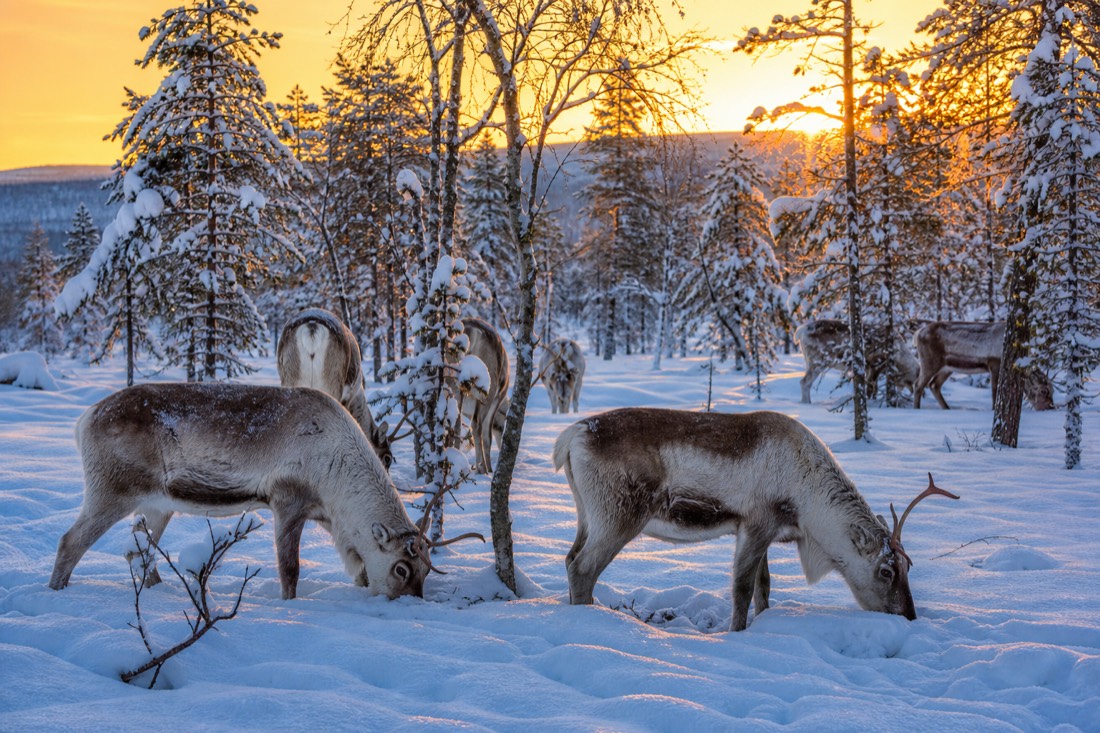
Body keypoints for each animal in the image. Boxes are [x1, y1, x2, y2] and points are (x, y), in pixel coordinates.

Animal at [48, 383, 482, 599]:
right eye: (402, 567)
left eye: (425, 570)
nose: (407, 606)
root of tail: (83, 420)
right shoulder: (287, 500)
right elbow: (290, 570)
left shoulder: (328, 517)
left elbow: (356, 567)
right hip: (111, 491)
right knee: (71, 541)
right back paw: (55, 593)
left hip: (158, 505)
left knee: (136, 549)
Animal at [459, 317, 510, 473]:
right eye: (504, 416)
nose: (502, 443)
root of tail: (471, 331)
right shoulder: (496, 401)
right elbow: (487, 438)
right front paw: (489, 468)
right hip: (488, 389)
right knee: (477, 426)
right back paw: (482, 469)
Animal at [553, 407, 959, 631]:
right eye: (886, 571)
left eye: (908, 566)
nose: (909, 616)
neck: (808, 501)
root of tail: (571, 437)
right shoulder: (756, 523)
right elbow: (742, 588)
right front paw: (737, 634)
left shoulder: (763, 533)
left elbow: (765, 587)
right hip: (618, 516)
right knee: (583, 567)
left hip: (587, 514)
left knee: (570, 559)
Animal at [912, 320, 1054, 411]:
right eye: (1043, 390)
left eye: (1052, 390)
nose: (1050, 407)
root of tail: (918, 333)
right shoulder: (994, 364)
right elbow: (995, 390)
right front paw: (993, 409)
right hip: (930, 362)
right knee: (918, 384)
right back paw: (917, 409)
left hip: (947, 368)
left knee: (934, 385)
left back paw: (947, 408)